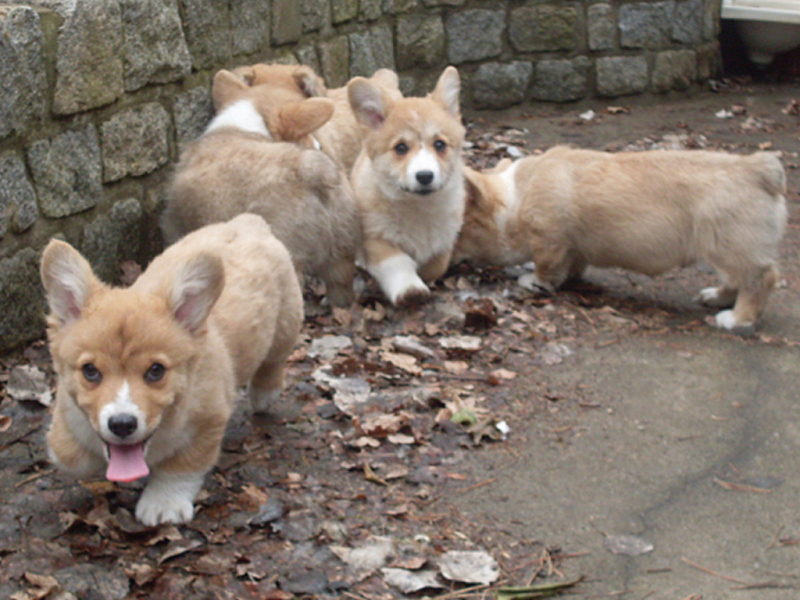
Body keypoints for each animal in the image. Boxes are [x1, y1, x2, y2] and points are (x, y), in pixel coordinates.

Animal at [41, 213, 304, 524]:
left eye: (156, 371)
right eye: (90, 371)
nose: (122, 424)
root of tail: (248, 222)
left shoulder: (209, 421)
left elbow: (180, 467)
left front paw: (163, 503)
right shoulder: (68, 410)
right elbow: (70, 456)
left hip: (286, 325)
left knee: (273, 360)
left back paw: (265, 394)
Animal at [162, 68, 362, 308]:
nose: (320, 146)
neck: (250, 122)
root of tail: (309, 169)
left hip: (289, 259)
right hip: (341, 252)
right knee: (342, 293)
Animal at [346, 67, 466, 304]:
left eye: (439, 144)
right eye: (400, 148)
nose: (425, 176)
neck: (418, 207)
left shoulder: (445, 239)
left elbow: (436, 266)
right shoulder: (377, 238)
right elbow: (397, 263)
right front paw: (410, 289)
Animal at [450, 147, 788, 330]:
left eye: (458, 232)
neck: (515, 199)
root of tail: (757, 170)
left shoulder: (550, 240)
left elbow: (547, 269)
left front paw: (533, 281)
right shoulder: (572, 248)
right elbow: (573, 265)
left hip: (731, 247)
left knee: (761, 278)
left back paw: (737, 318)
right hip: (723, 248)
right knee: (734, 279)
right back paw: (717, 297)